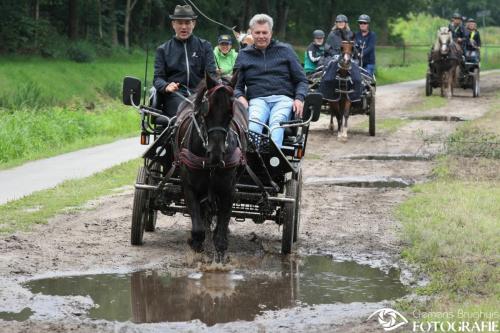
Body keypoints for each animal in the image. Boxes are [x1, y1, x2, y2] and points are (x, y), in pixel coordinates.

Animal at [174, 72, 248, 262]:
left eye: (230, 114)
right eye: (205, 113)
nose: (216, 153)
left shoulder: (228, 190)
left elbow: (222, 228)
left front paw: (220, 256)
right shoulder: (189, 188)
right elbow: (198, 228)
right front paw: (196, 243)